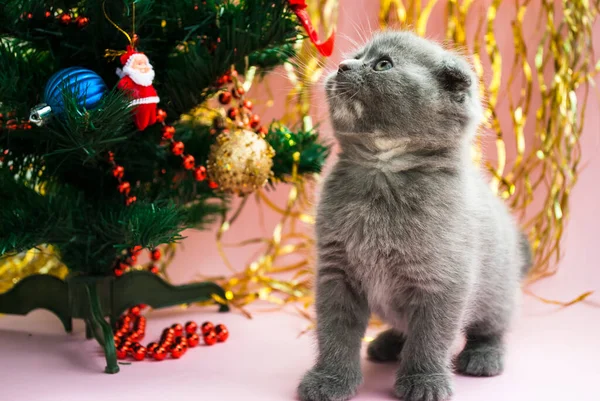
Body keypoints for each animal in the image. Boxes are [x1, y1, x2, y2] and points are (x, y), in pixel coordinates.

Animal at [298, 30, 532, 400]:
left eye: (383, 64)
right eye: (357, 56)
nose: (343, 65)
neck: (382, 170)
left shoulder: (443, 281)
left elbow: (431, 336)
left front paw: (424, 381)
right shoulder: (336, 272)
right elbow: (335, 330)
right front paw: (330, 378)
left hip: (498, 290)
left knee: (492, 326)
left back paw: (484, 356)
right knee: (403, 325)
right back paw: (387, 343)